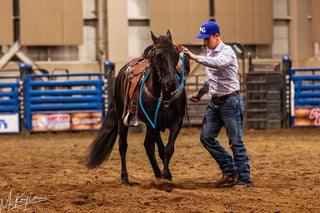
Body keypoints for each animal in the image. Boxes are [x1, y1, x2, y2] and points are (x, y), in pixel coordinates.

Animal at [86, 30, 189, 186]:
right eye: (158, 56)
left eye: (176, 54)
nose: (171, 83)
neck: (163, 95)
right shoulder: (153, 123)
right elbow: (159, 148)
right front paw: (165, 174)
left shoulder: (177, 121)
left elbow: (168, 149)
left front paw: (166, 174)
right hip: (122, 119)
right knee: (123, 146)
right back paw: (125, 178)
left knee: (149, 146)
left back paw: (158, 172)